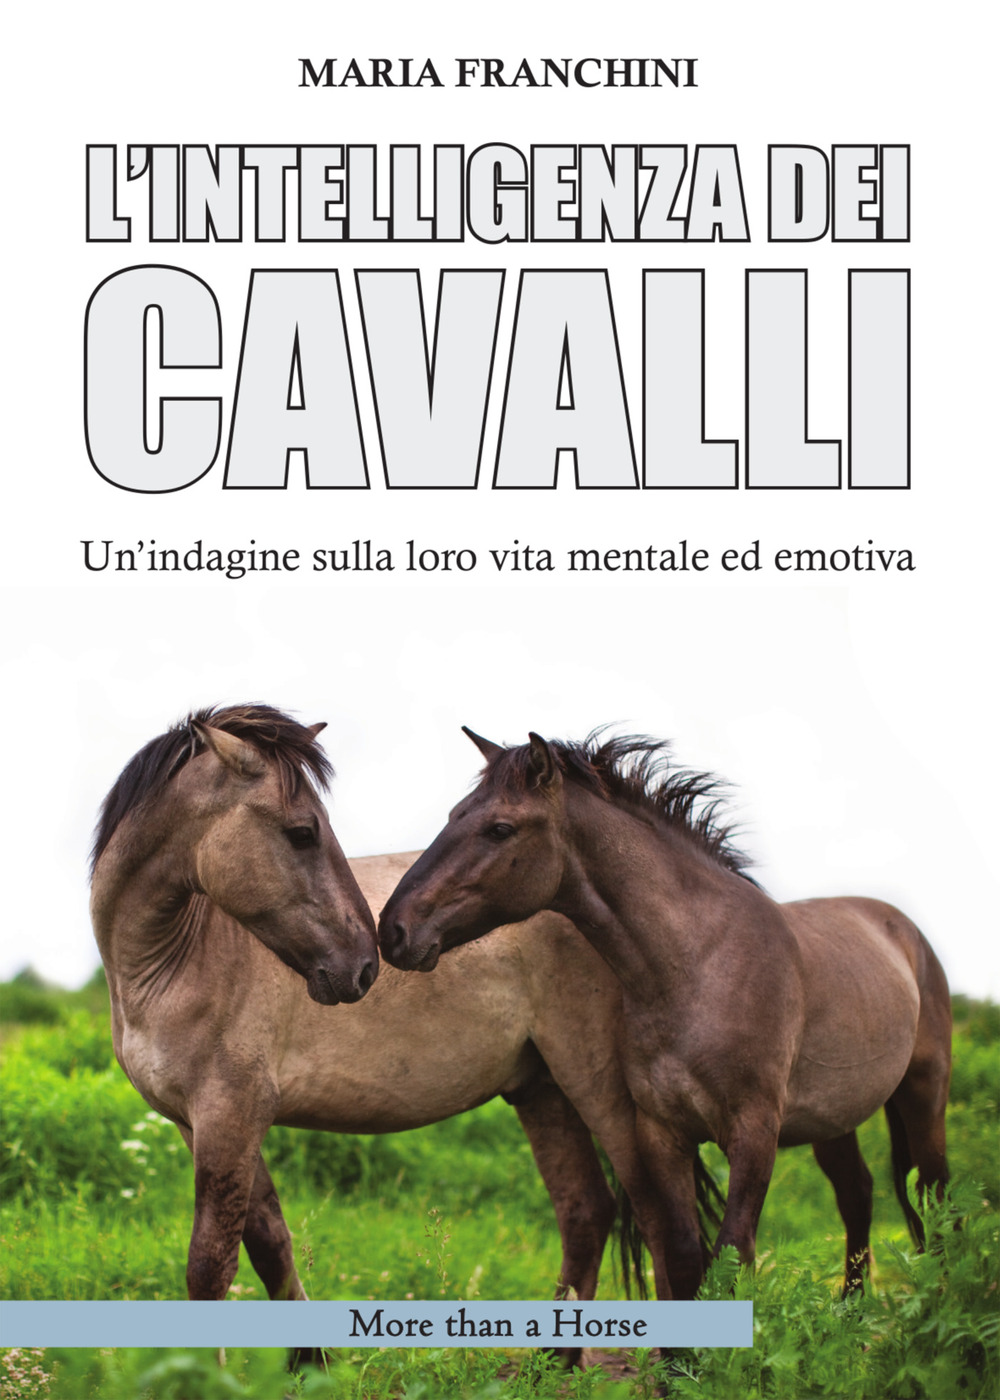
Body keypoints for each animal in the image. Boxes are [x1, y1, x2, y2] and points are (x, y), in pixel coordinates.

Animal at [90, 704, 663, 1351]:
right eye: (303, 832)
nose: (365, 964)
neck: (172, 962)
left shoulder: (230, 1115)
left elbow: (211, 1267)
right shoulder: (201, 1125)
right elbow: (270, 1245)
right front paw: (309, 1362)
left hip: (599, 1089)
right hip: (543, 1089)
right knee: (585, 1212)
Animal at [378, 728, 952, 1302]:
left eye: (500, 828)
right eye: (454, 815)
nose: (392, 930)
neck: (698, 965)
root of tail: (906, 932)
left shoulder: (754, 1133)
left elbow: (731, 1255)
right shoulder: (662, 1134)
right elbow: (682, 1258)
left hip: (923, 1094)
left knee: (935, 1192)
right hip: (833, 1120)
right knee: (858, 1193)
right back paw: (850, 1308)